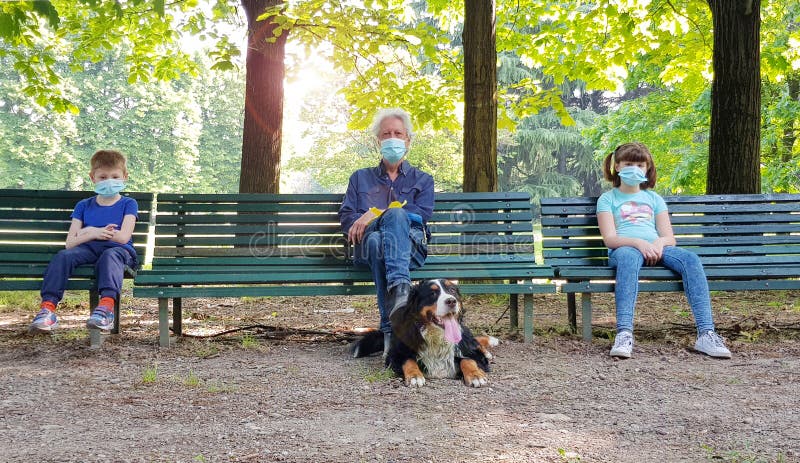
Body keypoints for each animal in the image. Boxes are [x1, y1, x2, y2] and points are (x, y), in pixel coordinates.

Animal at [352, 280, 496, 388]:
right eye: (432, 293)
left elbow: (468, 359)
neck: (436, 337)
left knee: (474, 343)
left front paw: (475, 375)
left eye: (452, 291)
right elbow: (408, 360)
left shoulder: (469, 353)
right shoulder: (395, 355)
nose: (451, 301)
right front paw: (415, 375)